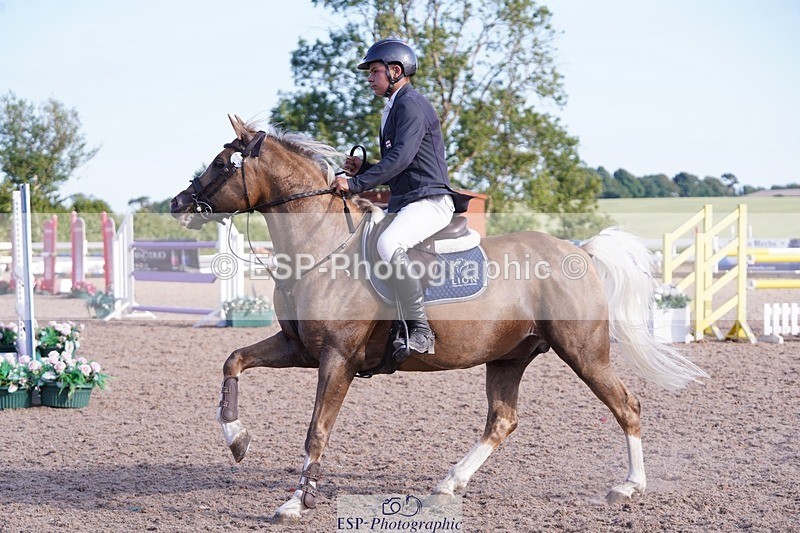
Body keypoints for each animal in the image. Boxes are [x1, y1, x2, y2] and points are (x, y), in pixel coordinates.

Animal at [170, 115, 707, 523]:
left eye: (221, 163)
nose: (178, 204)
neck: (322, 248)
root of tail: (580, 251)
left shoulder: (337, 359)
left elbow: (317, 429)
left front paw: (295, 504)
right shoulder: (299, 350)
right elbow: (234, 360)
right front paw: (237, 439)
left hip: (584, 353)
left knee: (626, 406)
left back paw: (628, 487)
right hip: (508, 356)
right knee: (502, 420)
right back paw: (449, 484)